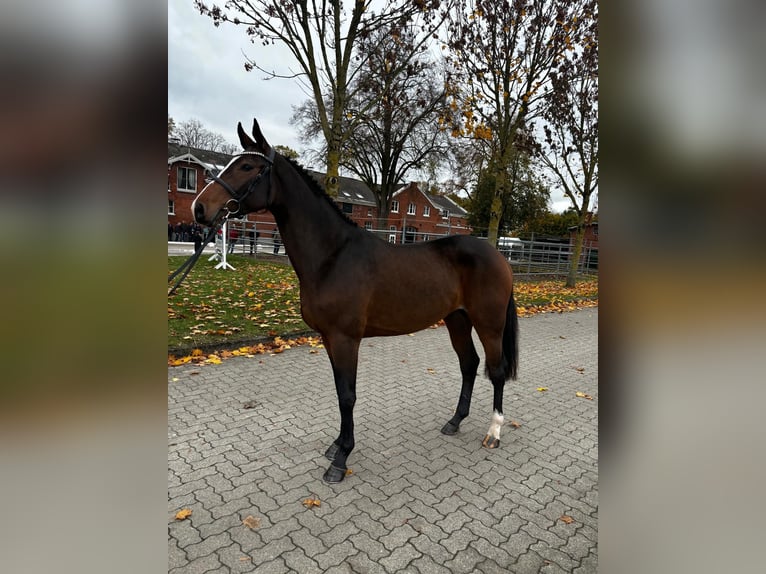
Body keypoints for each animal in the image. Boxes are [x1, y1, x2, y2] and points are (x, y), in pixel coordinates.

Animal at [192, 119, 520, 484]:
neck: (333, 255)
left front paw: (340, 460)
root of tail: (498, 255)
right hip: (457, 319)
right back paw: (454, 421)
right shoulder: (329, 338)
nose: (200, 209)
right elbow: (340, 391)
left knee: (496, 370)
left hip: (489, 323)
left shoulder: (345, 338)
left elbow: (348, 396)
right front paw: (337, 446)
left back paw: (494, 432)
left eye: (248, 166)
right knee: (469, 365)